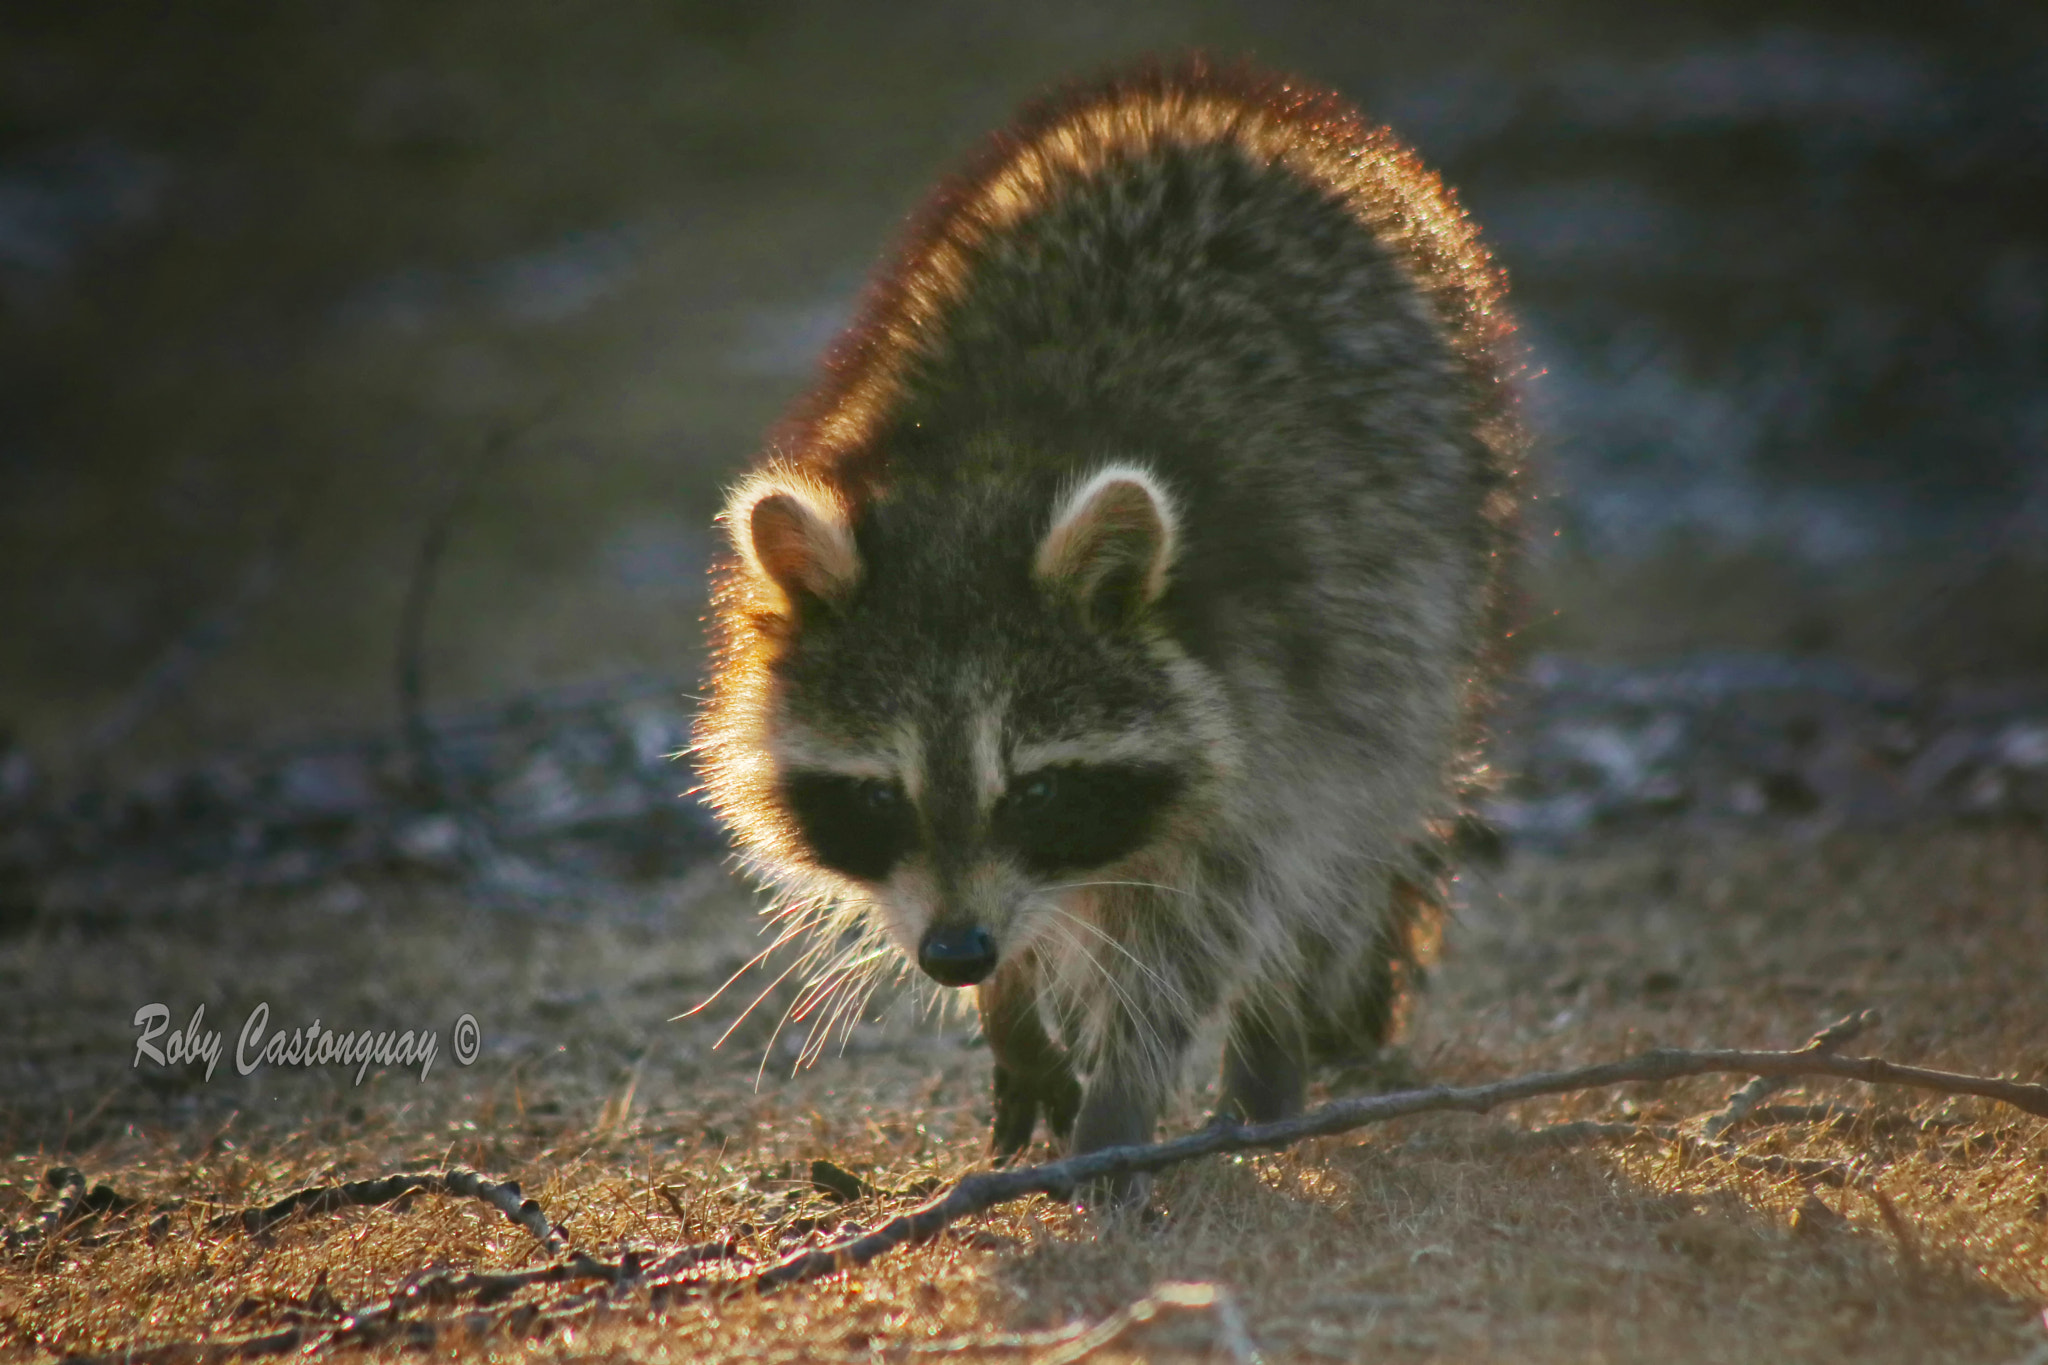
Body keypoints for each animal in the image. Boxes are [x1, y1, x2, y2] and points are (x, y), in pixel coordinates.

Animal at [696, 58, 1520, 1189]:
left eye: (1038, 789)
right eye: (880, 794)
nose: (958, 954)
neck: (984, 478)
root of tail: (1210, 102)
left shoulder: (1269, 688)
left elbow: (1203, 921)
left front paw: (1123, 1096)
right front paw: (1011, 1010)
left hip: (1422, 575)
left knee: (1344, 833)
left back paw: (1269, 1054)